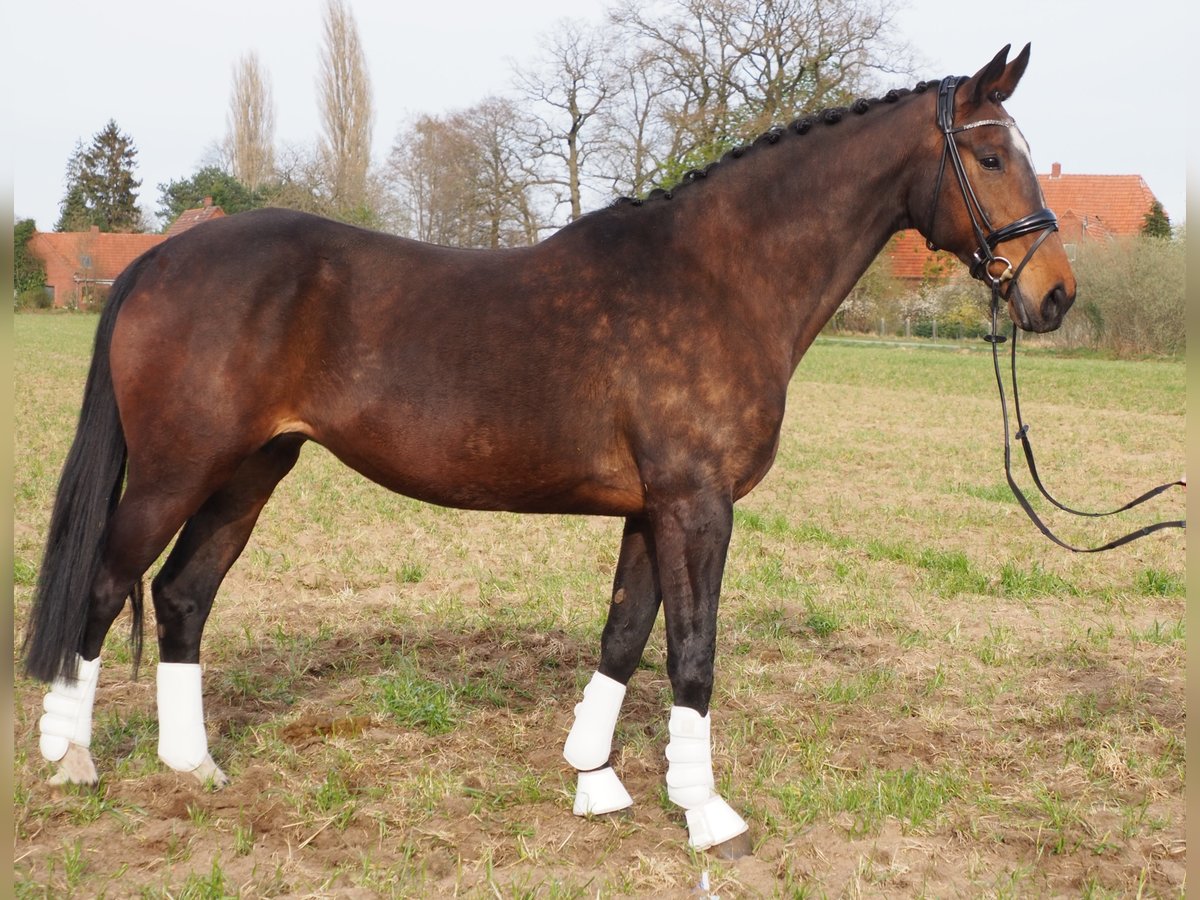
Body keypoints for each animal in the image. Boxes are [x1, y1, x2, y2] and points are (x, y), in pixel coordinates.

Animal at [23, 47, 1070, 859]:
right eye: (988, 155)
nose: (1055, 294)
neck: (722, 278)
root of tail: (158, 259)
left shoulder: (652, 508)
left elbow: (624, 634)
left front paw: (594, 780)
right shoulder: (697, 504)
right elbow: (692, 651)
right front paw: (708, 816)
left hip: (251, 471)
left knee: (181, 594)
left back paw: (194, 766)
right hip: (175, 472)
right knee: (107, 583)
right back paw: (72, 760)